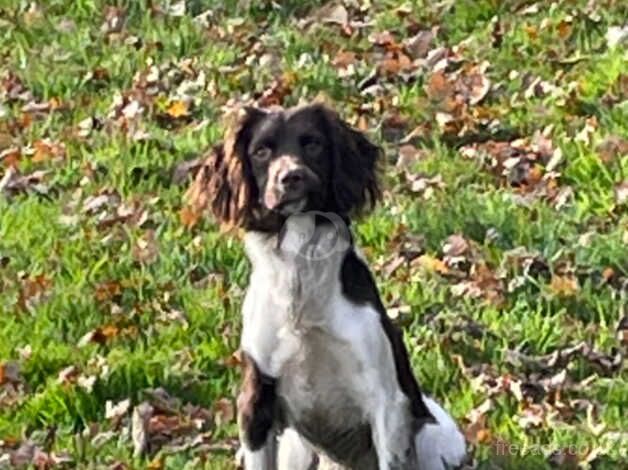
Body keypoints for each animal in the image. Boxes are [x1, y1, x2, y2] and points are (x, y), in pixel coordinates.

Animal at [186, 103, 466, 470]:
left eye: (313, 144)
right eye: (261, 151)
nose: (291, 177)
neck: (300, 278)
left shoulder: (387, 403)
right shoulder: (256, 401)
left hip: (432, 439)